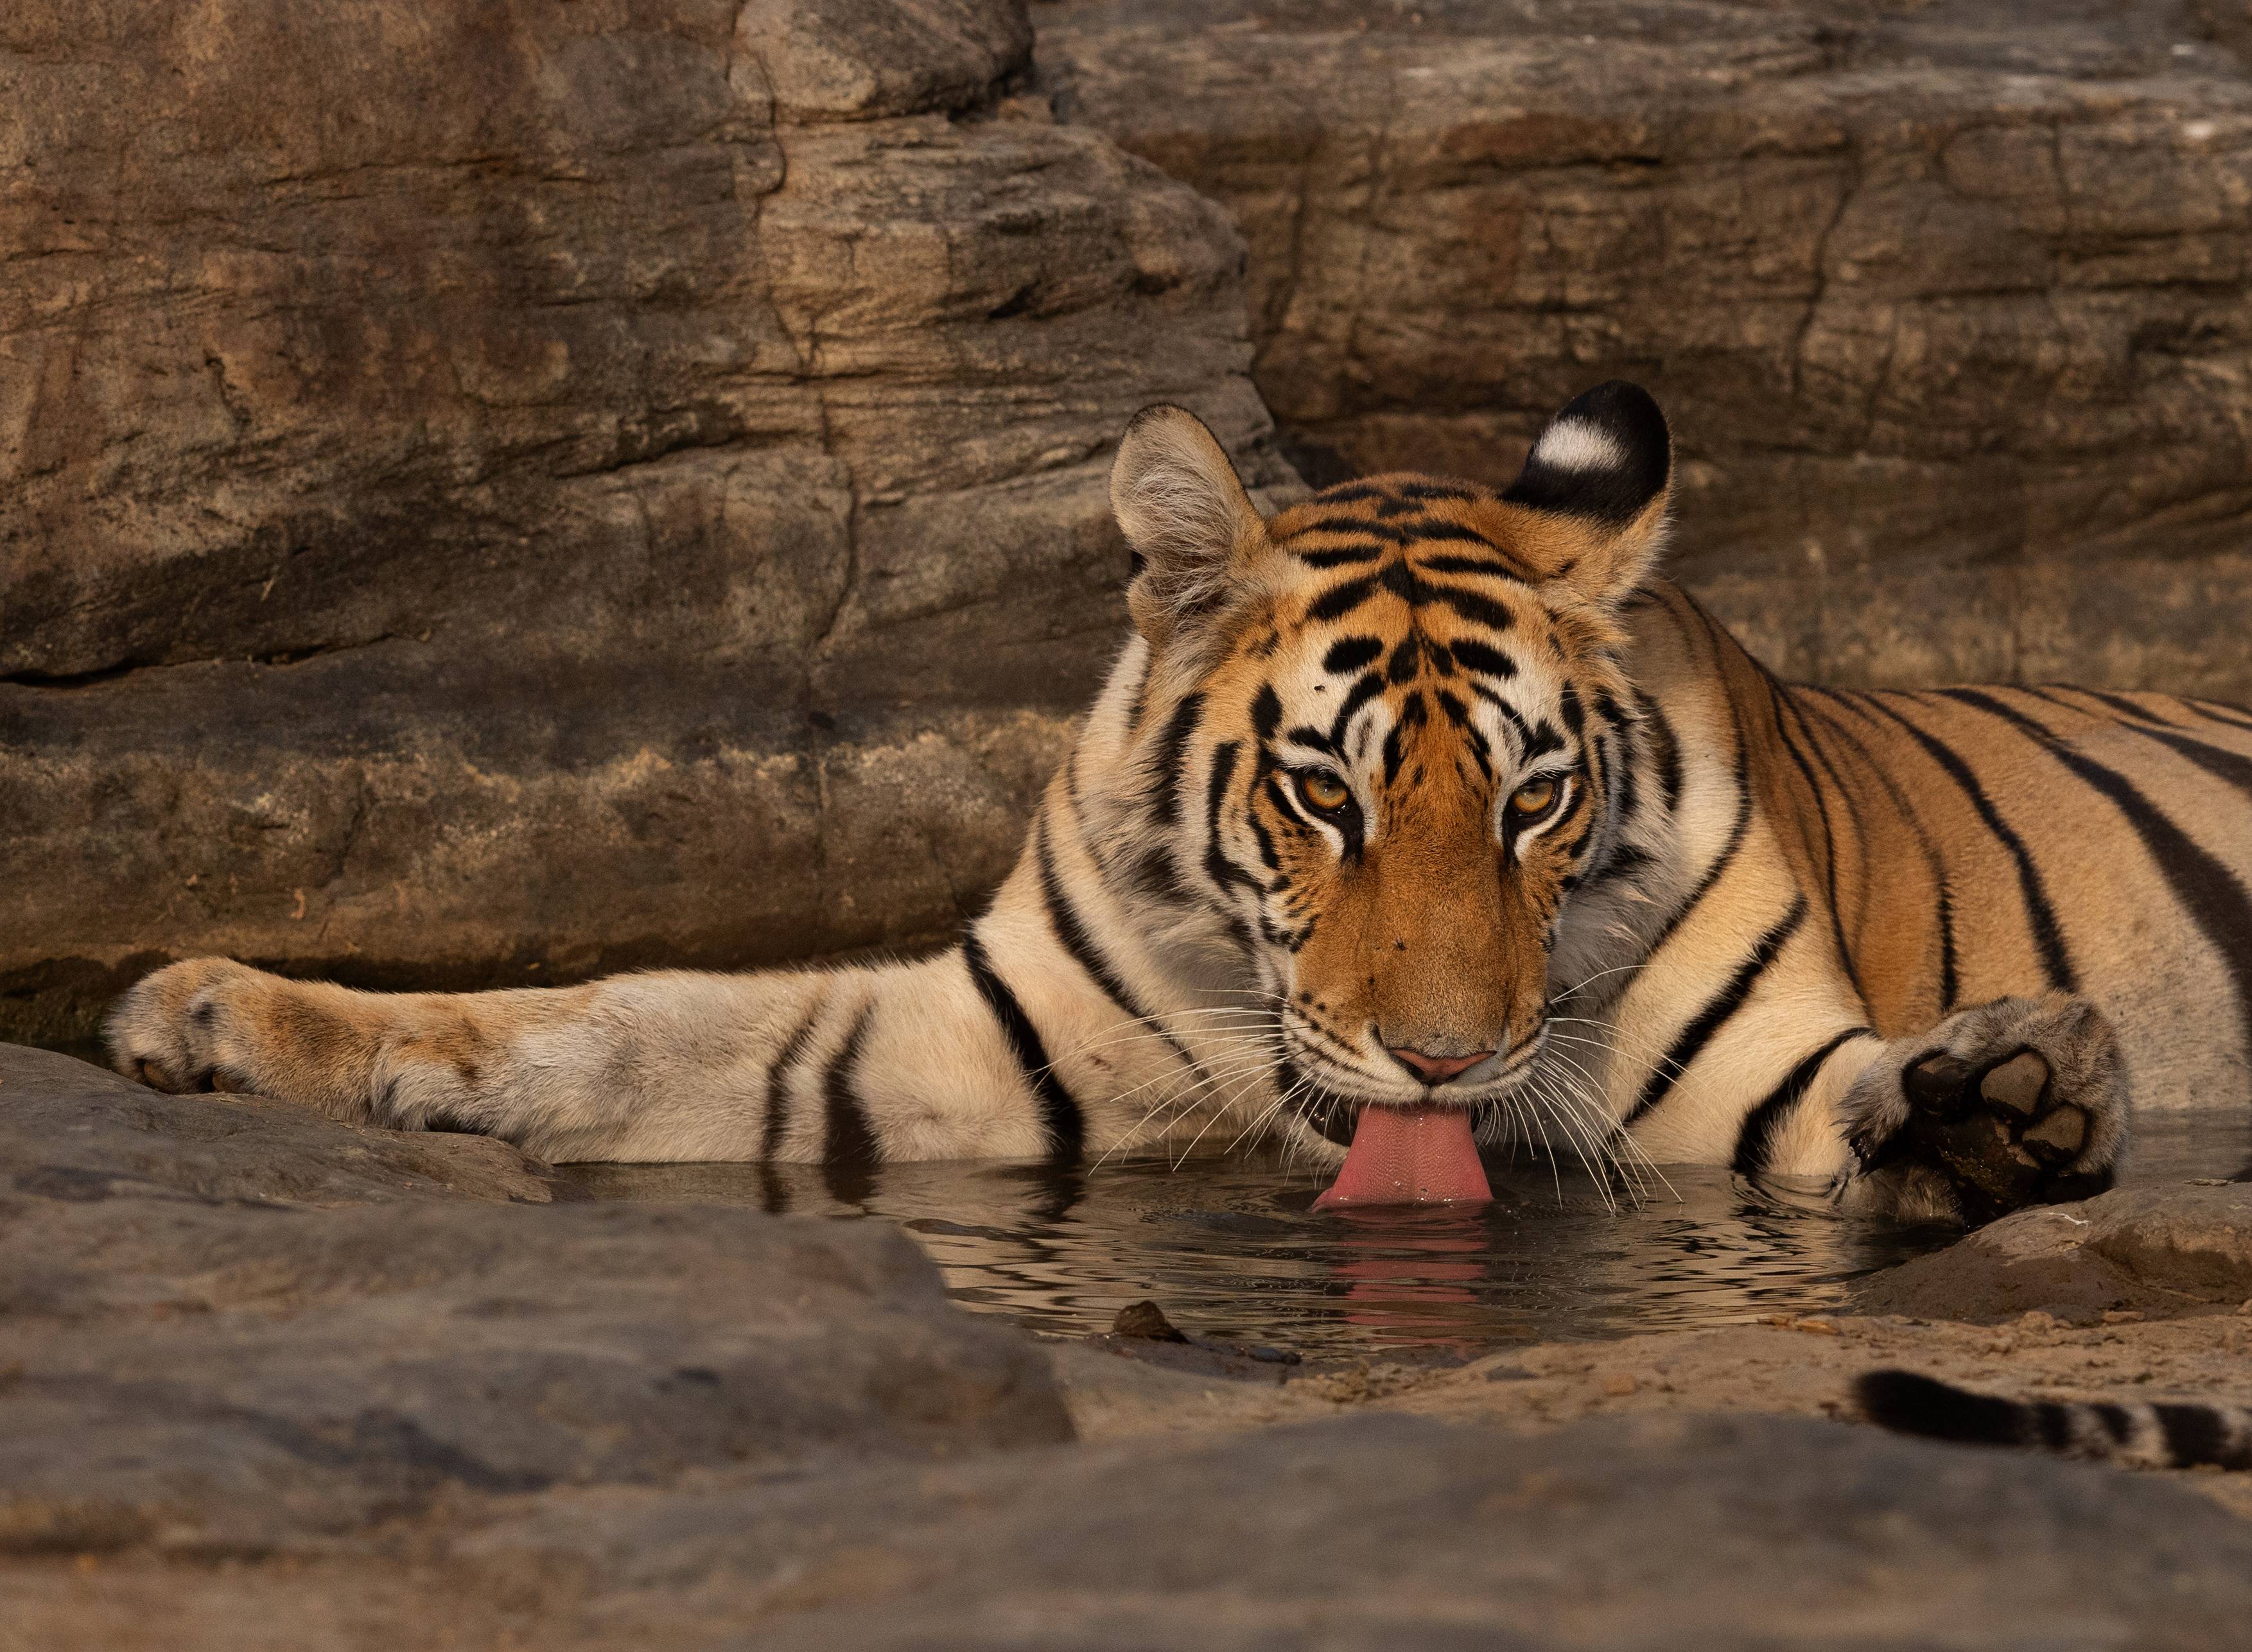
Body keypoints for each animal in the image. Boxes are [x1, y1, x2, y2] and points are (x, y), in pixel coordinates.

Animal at [106, 380, 2252, 1225]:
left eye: (1533, 805)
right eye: (1321, 794)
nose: (1441, 1059)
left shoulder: (1754, 1088)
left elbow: (1860, 1111)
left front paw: (1999, 1104)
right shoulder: (979, 1036)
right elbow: (625, 1026)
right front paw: (221, 1014)